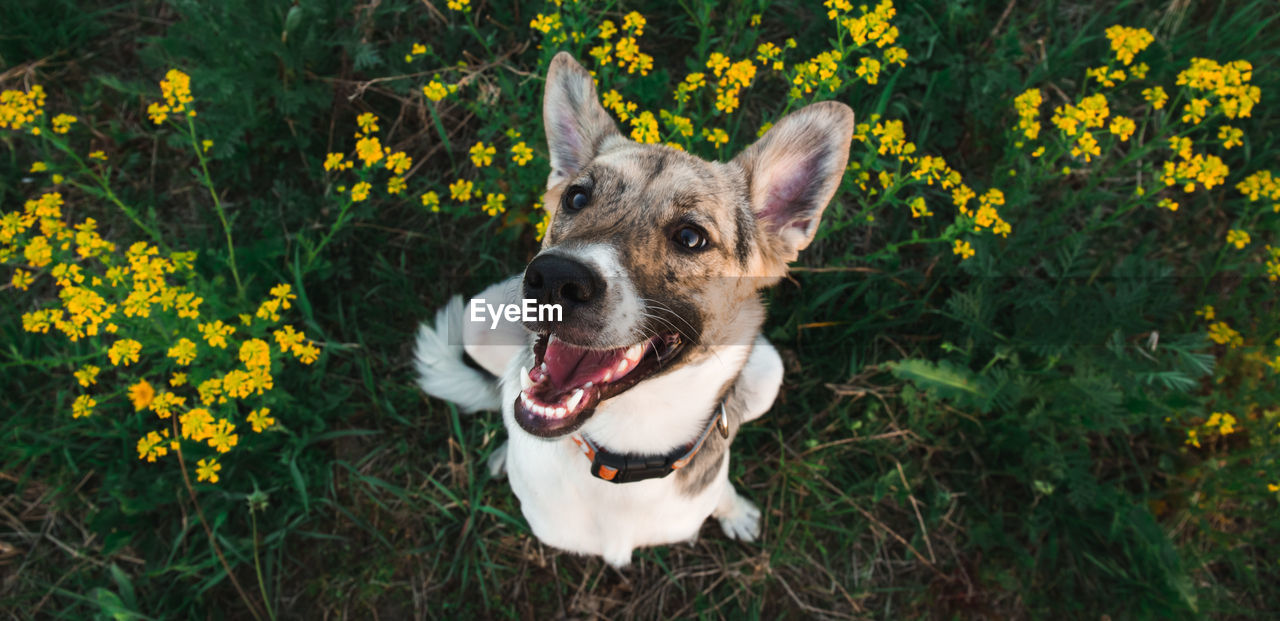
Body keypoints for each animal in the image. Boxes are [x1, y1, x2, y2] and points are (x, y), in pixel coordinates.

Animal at [412, 53, 849, 565]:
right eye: (576, 197)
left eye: (690, 237)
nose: (554, 279)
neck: (626, 448)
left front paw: (732, 508)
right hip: (477, 318)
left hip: (768, 369)